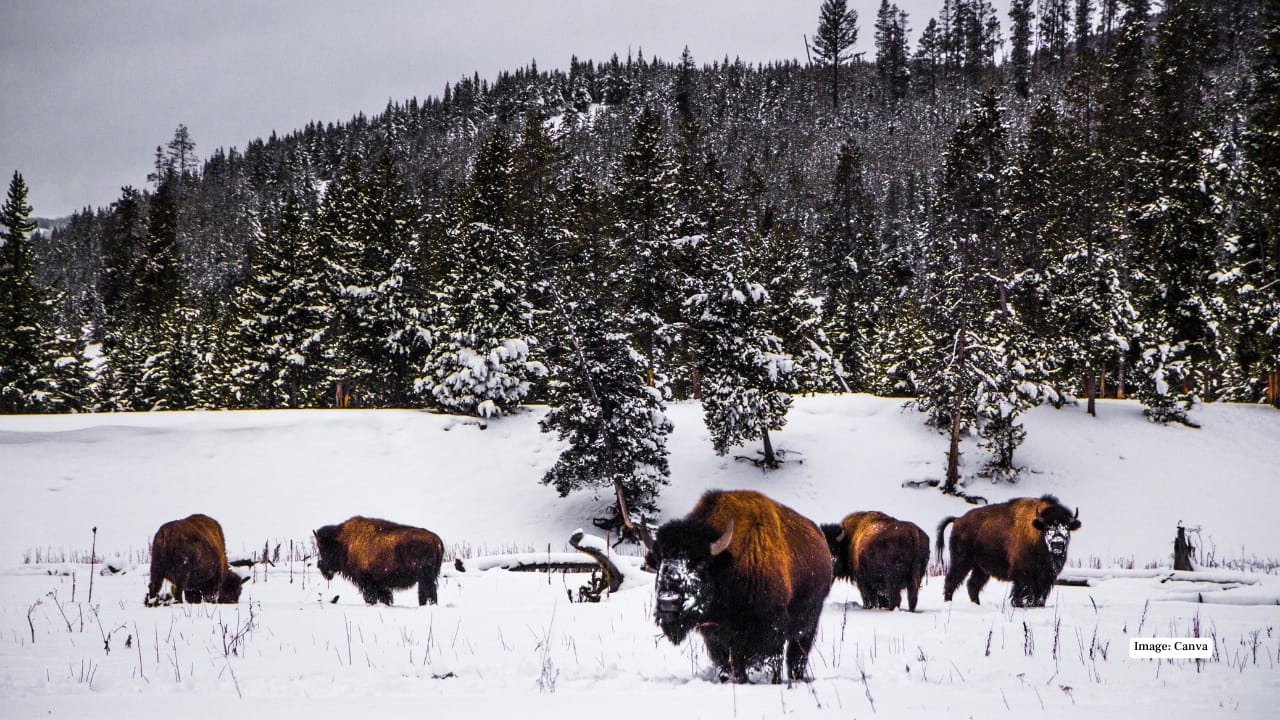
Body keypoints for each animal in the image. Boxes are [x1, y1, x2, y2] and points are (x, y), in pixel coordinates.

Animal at [313, 516, 444, 606]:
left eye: (323, 548)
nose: (320, 566)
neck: (345, 543)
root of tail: (435, 539)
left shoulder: (367, 581)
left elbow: (371, 597)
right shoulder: (379, 584)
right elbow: (385, 597)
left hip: (425, 578)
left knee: (428, 592)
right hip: (427, 578)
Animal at [646, 490, 833, 683]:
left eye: (700, 563)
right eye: (660, 561)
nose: (668, 602)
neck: (729, 564)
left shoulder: (771, 630)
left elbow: (772, 660)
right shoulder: (717, 638)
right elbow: (731, 664)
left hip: (808, 625)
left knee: (798, 654)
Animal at [937, 495, 1081, 607]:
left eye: (1066, 527)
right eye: (1047, 526)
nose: (1057, 543)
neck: (1037, 533)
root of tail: (958, 519)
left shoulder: (1046, 575)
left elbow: (1039, 593)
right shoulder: (1023, 573)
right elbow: (1025, 590)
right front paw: (1019, 604)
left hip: (981, 569)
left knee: (972, 585)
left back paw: (976, 605)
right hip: (962, 561)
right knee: (952, 580)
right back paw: (949, 603)